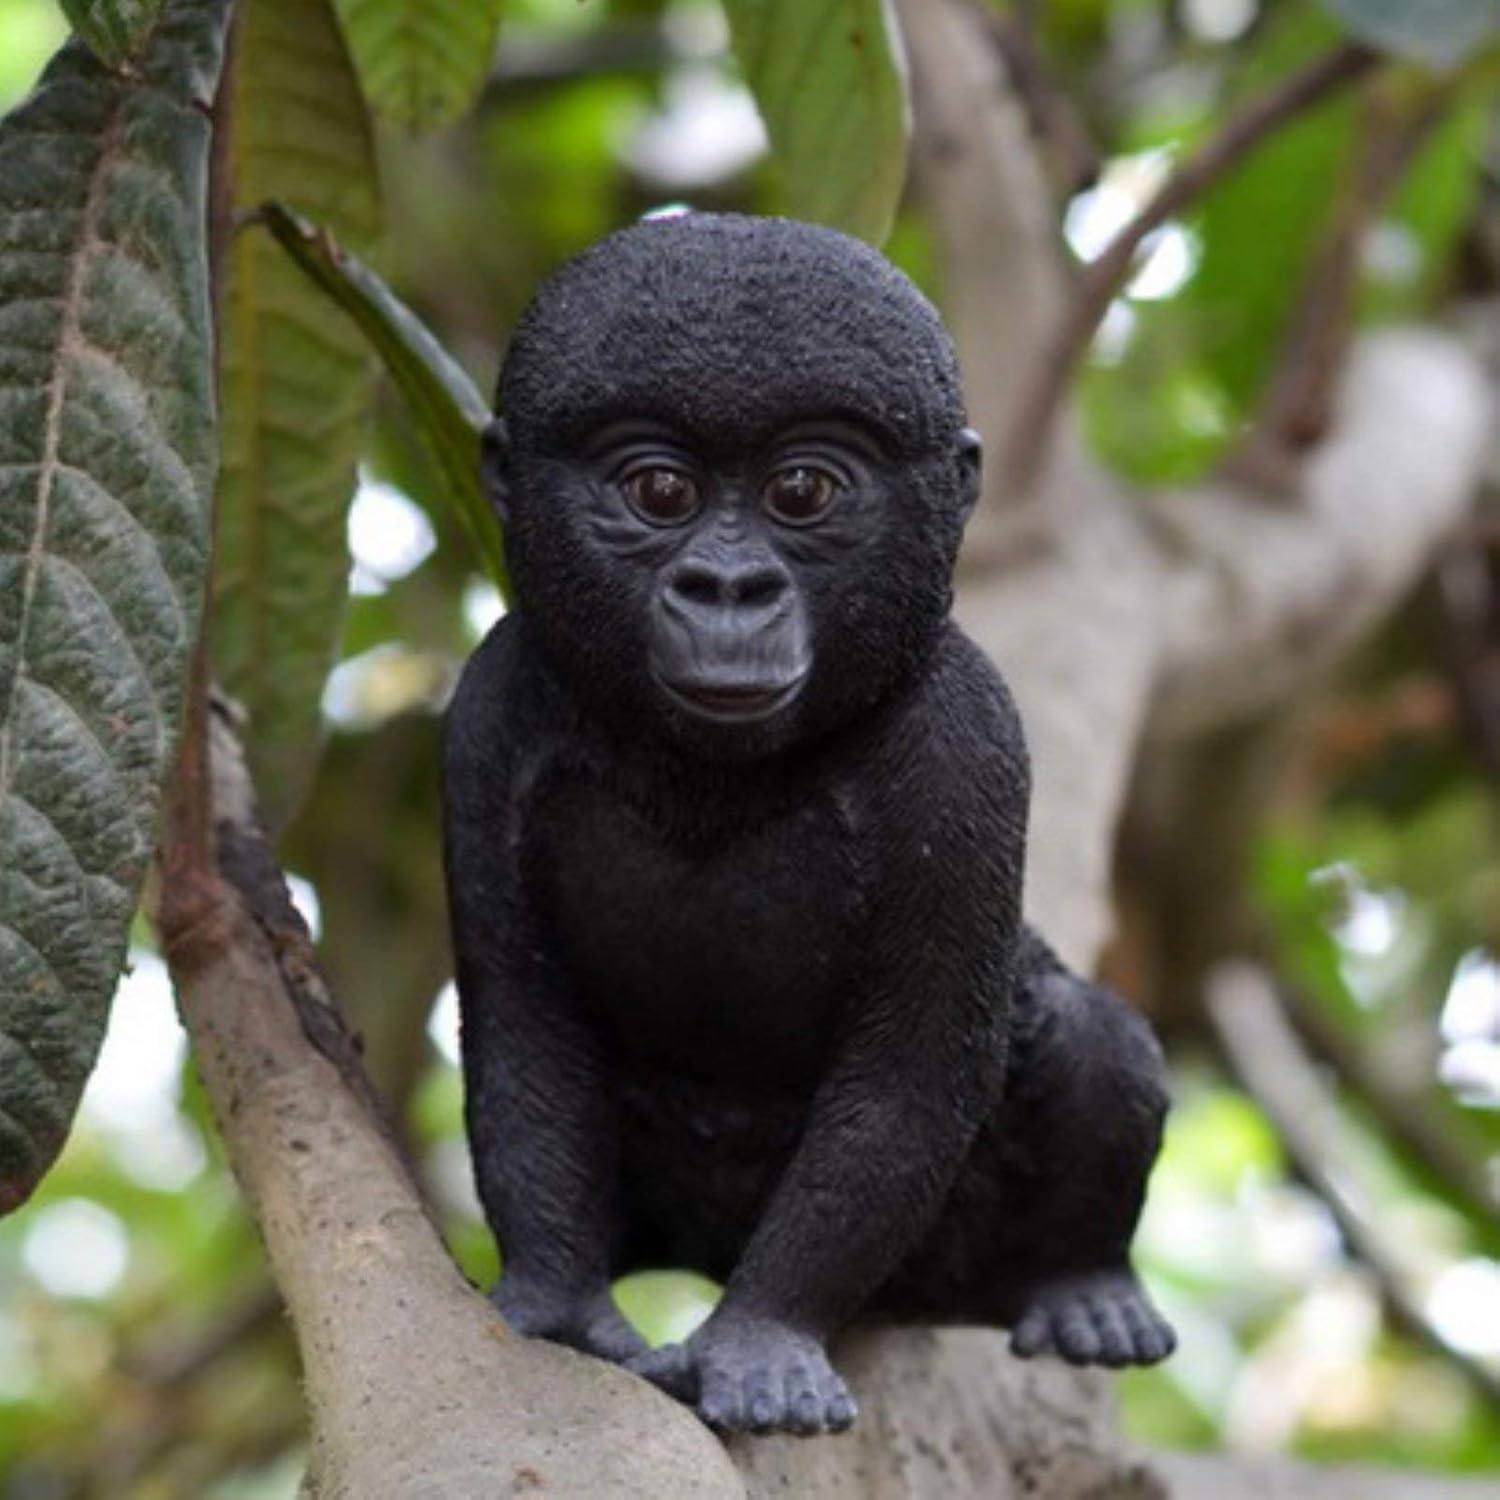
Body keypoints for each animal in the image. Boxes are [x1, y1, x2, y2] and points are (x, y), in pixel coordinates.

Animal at [443, 212, 1175, 1438]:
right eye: (658, 489)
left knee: (1090, 1037)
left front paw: (759, 1341)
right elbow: (521, 1018)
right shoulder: (489, 708)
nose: (729, 589)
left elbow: (915, 1069)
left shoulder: (965, 739)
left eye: (800, 491)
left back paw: (1088, 1287)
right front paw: (558, 1308)